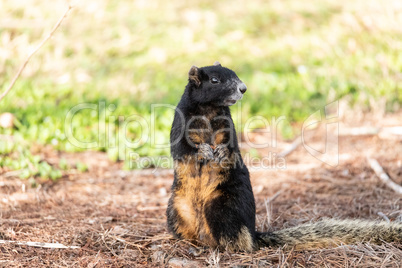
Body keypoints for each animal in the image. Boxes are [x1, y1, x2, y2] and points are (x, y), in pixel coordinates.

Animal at [165, 62, 400, 251]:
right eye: (214, 80)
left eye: (235, 73)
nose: (243, 88)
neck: (209, 110)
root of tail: (253, 234)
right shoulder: (180, 122)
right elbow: (181, 148)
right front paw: (203, 151)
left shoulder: (228, 125)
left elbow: (233, 147)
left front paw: (222, 151)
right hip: (177, 209)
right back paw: (192, 245)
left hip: (222, 208)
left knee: (236, 241)